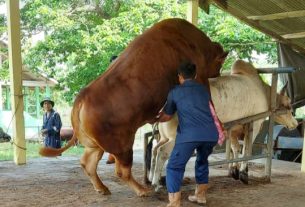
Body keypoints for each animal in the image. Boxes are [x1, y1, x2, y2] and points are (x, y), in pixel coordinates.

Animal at [39, 17, 227, 196]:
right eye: (220, 64)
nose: (218, 73)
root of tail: (82, 98)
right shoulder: (200, 76)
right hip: (122, 147)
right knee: (121, 171)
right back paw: (141, 190)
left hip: (95, 145)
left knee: (88, 164)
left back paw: (102, 188)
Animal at [149, 59, 296, 189]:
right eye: (289, 105)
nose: (294, 124)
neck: (264, 93)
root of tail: (165, 105)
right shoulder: (254, 124)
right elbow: (246, 149)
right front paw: (243, 174)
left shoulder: (233, 128)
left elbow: (235, 148)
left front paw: (234, 171)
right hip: (176, 138)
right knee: (162, 152)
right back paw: (156, 183)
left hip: (164, 137)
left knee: (155, 149)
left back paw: (152, 178)